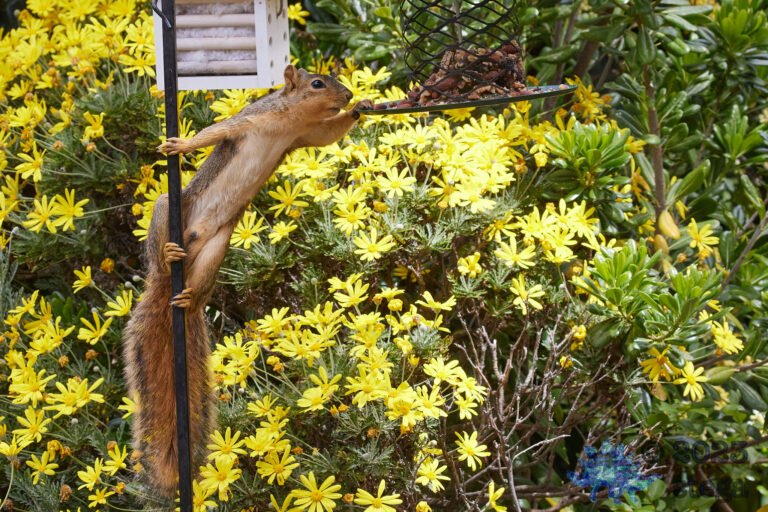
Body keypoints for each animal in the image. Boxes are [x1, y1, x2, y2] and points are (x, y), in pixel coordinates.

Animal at [122, 64, 372, 499]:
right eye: (316, 84)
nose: (347, 95)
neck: (292, 119)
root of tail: (173, 283)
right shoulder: (249, 122)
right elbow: (214, 133)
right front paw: (180, 144)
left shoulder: (306, 137)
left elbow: (331, 135)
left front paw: (360, 109)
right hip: (167, 210)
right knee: (158, 258)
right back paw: (167, 257)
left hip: (218, 246)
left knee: (197, 286)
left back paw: (190, 299)